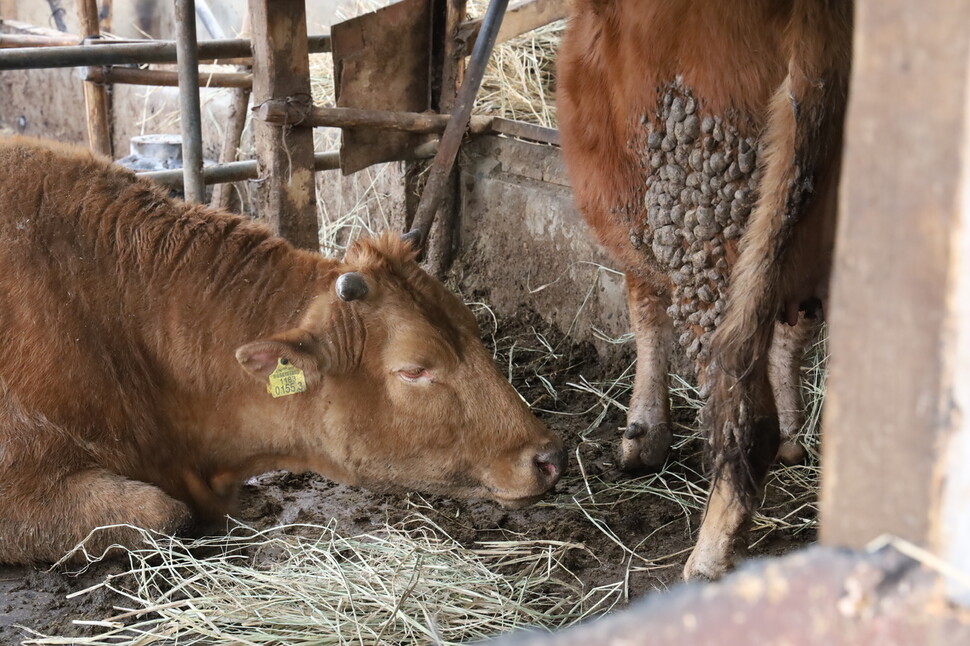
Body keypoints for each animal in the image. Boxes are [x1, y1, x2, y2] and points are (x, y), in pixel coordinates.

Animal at [556, 0, 852, 580]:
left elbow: (644, 307)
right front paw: (794, 436)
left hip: (703, 220)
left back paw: (710, 554)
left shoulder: (636, 211)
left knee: (742, 406)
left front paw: (643, 435)